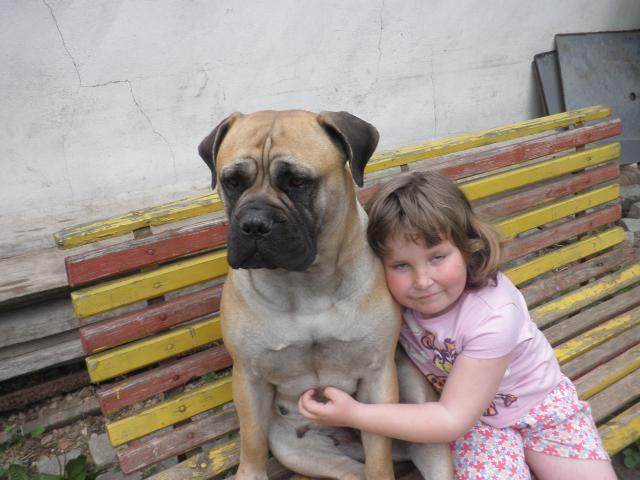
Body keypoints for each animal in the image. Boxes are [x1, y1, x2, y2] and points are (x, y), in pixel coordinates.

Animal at [198, 110, 452, 479]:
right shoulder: (249, 378)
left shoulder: (377, 375)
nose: (255, 224)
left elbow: (379, 452)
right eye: (233, 181)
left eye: (297, 181)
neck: (305, 285)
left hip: (417, 400)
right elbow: (252, 444)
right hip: (297, 450)